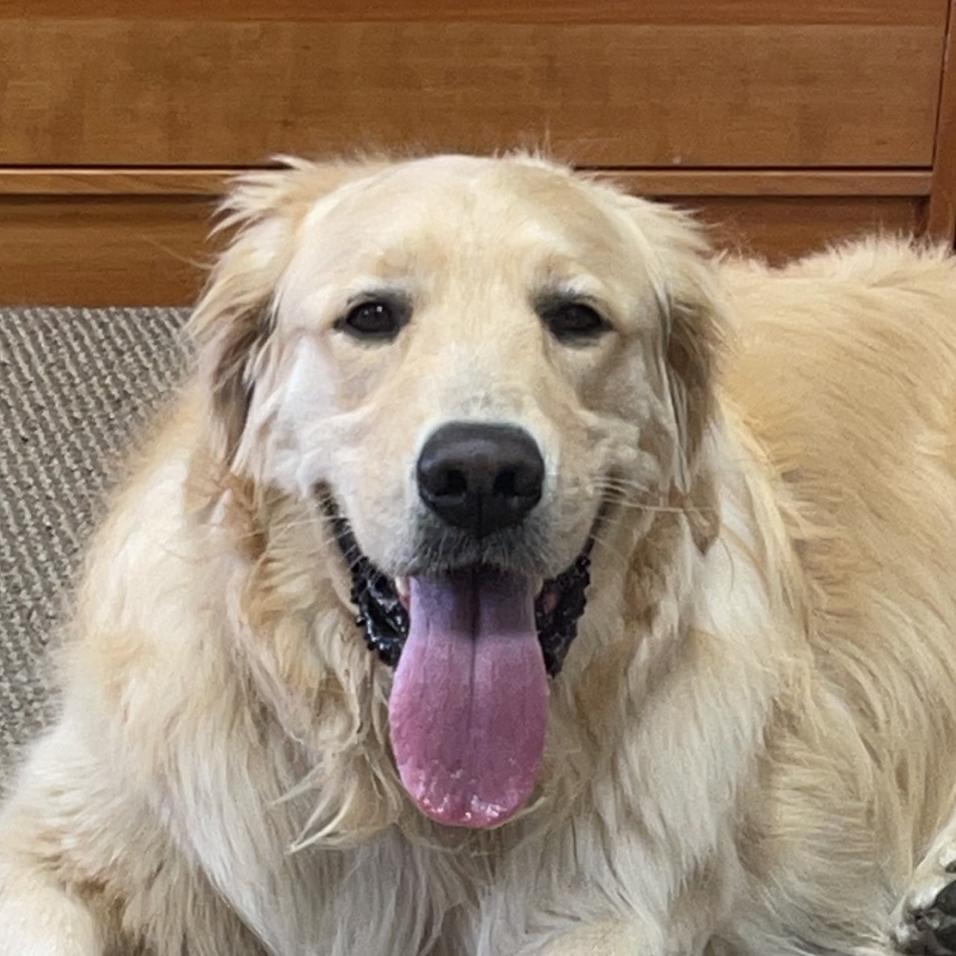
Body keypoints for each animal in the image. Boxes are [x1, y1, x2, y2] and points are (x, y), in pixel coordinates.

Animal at [2, 153, 956, 956]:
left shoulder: (602, 912)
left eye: (576, 318)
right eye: (371, 316)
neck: (408, 802)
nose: (482, 475)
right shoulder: (66, 837)